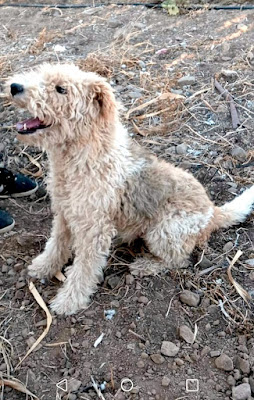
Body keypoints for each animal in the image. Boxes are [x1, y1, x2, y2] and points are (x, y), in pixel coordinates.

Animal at [7, 64, 254, 316]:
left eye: (61, 89)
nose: (14, 87)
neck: (80, 158)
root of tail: (212, 212)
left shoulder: (93, 228)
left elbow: (84, 268)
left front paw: (69, 301)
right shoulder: (64, 214)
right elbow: (55, 245)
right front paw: (43, 267)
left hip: (164, 232)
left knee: (179, 259)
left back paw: (145, 265)